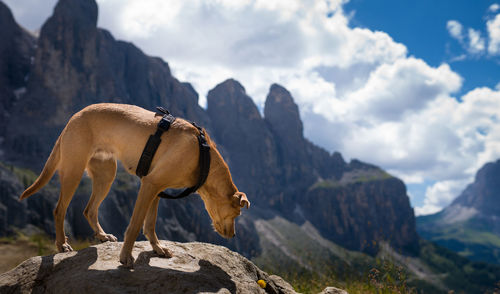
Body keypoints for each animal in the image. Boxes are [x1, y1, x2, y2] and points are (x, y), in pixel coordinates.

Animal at [19, 103, 250, 266]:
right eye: (236, 214)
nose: (234, 235)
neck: (202, 156)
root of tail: (74, 117)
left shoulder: (156, 189)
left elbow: (150, 224)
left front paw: (157, 248)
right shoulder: (150, 184)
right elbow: (135, 225)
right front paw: (126, 257)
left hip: (106, 175)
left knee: (89, 209)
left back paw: (102, 235)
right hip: (73, 172)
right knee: (59, 209)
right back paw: (62, 244)